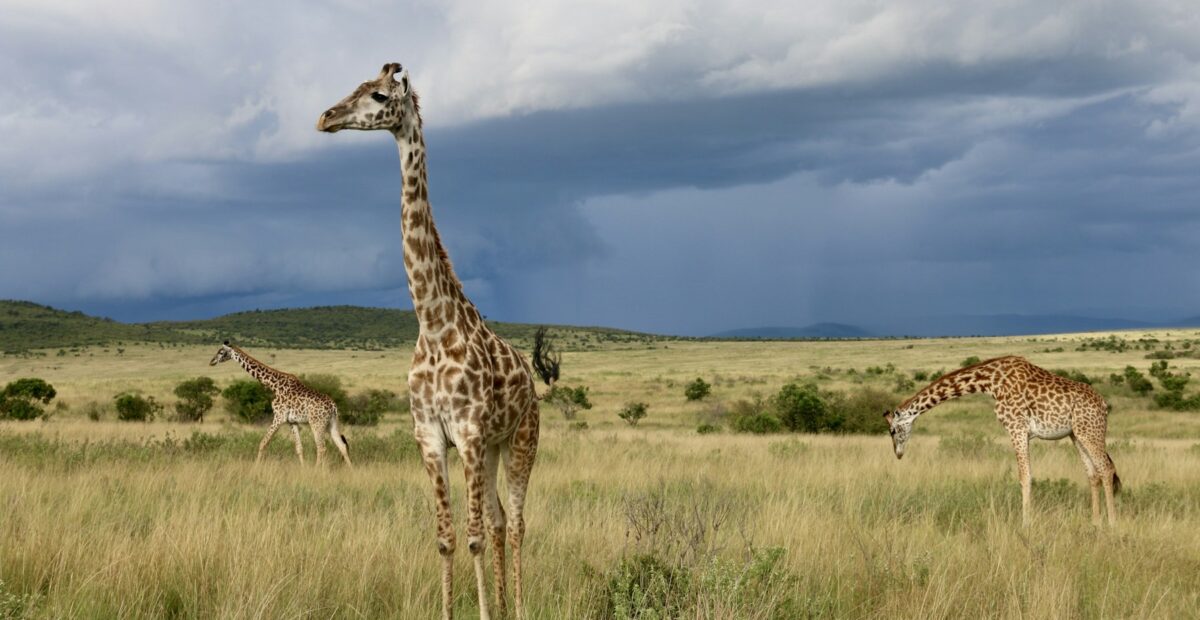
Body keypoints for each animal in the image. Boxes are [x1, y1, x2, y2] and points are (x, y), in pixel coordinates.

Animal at [209, 341, 352, 467]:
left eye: (221, 352)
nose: (212, 361)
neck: (274, 386)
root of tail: (333, 406)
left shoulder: (279, 416)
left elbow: (263, 443)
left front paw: (255, 468)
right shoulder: (292, 421)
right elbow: (299, 448)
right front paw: (303, 469)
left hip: (317, 423)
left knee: (321, 447)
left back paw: (316, 470)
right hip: (332, 423)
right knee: (342, 445)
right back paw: (351, 470)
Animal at [317, 63, 558, 620]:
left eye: (378, 95)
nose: (326, 117)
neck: (432, 325)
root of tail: (531, 381)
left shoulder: (466, 433)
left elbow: (471, 537)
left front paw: (487, 610)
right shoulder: (430, 436)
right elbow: (447, 538)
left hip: (520, 439)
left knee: (516, 522)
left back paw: (518, 606)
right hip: (491, 447)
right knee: (498, 519)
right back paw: (507, 604)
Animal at [884, 355, 1120, 526]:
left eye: (893, 431)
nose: (898, 453)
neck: (990, 382)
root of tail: (1103, 405)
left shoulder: (1016, 428)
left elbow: (1025, 477)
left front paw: (1025, 525)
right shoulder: (1022, 431)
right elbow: (1027, 476)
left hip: (1090, 431)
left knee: (1106, 468)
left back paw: (1112, 524)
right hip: (1077, 434)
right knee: (1093, 474)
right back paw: (1095, 523)